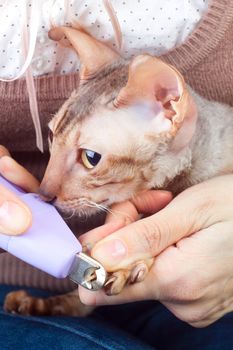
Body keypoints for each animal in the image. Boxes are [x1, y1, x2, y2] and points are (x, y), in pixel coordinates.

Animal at [3, 26, 233, 318]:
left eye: (91, 158)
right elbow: (78, 300)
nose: (43, 194)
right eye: (53, 136)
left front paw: (127, 265)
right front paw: (44, 304)